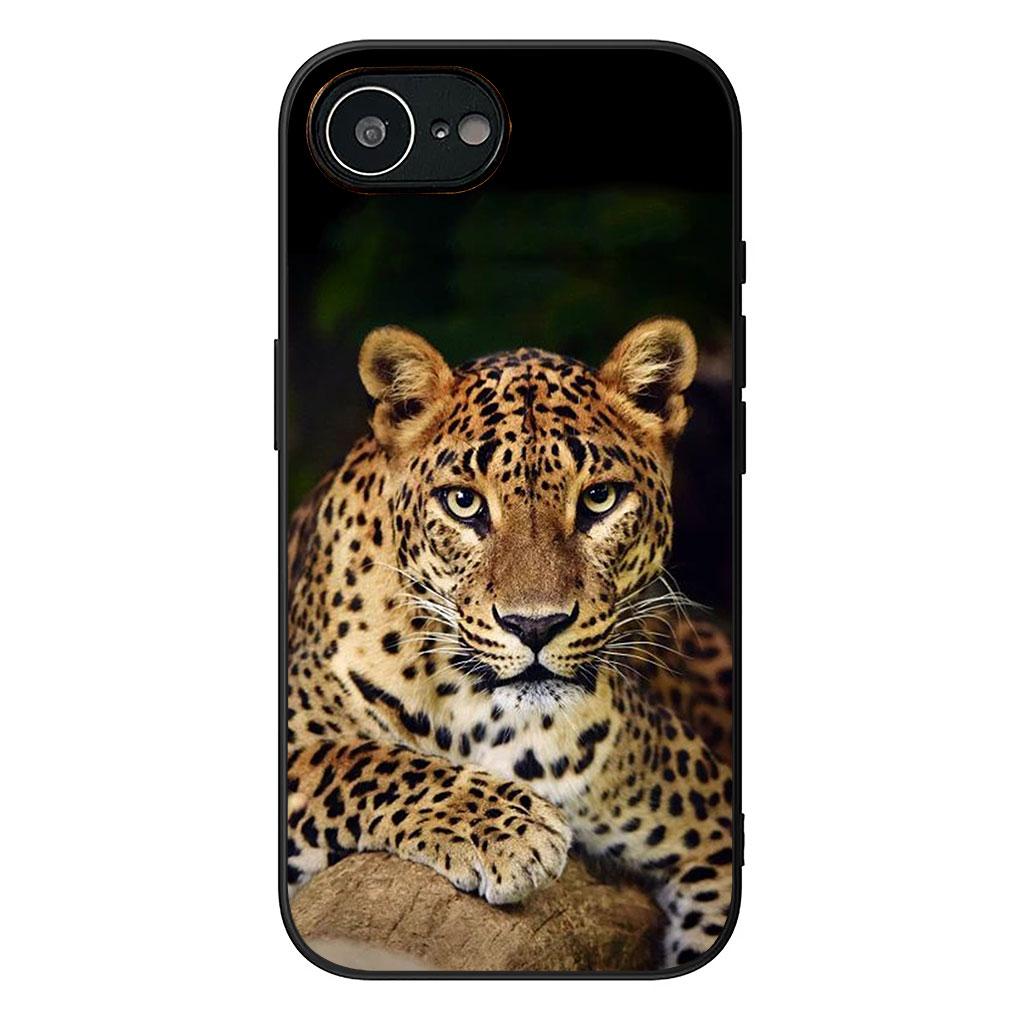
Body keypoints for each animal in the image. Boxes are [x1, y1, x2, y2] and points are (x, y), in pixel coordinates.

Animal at [285, 316, 736, 970]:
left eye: (599, 498)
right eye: (463, 502)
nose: (535, 626)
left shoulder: (711, 829)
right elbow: (356, 758)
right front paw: (507, 830)